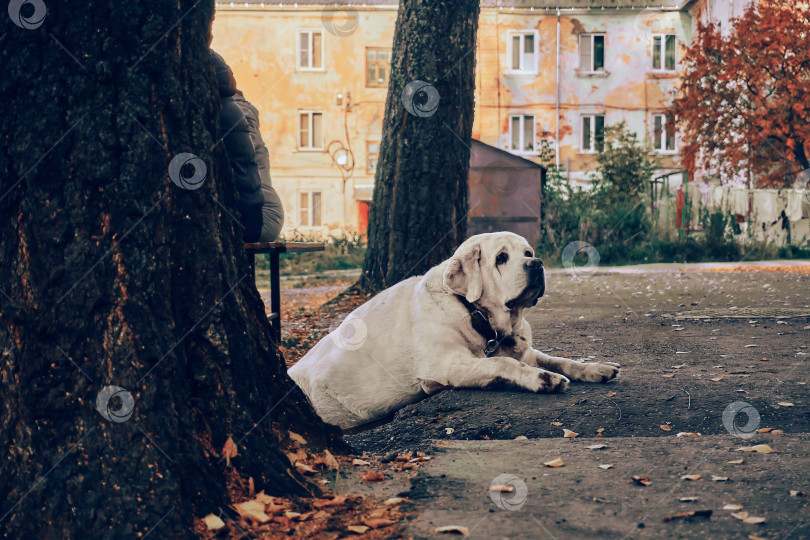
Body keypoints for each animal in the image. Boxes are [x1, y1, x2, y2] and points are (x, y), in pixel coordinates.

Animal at [288, 230, 616, 428]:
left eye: (528, 252)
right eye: (501, 258)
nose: (536, 263)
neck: (475, 315)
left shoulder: (525, 350)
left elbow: (558, 359)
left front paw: (594, 368)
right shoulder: (444, 366)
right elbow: (503, 362)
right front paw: (542, 378)